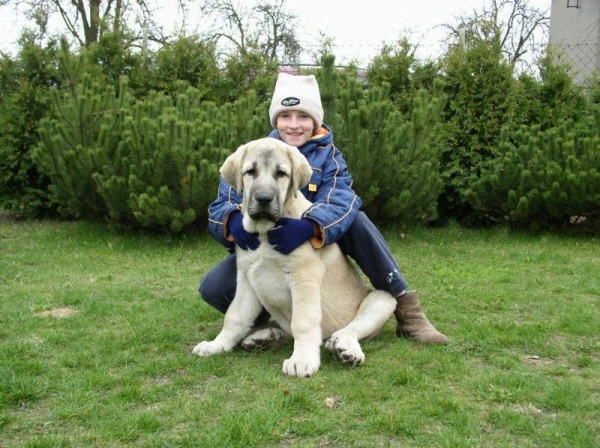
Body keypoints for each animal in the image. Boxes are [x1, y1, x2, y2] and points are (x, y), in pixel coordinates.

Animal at [193, 138, 398, 376]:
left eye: (281, 173)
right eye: (250, 172)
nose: (264, 199)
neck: (265, 232)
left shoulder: (304, 276)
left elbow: (303, 321)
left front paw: (302, 360)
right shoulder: (246, 278)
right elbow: (235, 316)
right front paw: (217, 345)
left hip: (383, 300)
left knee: (347, 330)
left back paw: (345, 348)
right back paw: (264, 336)